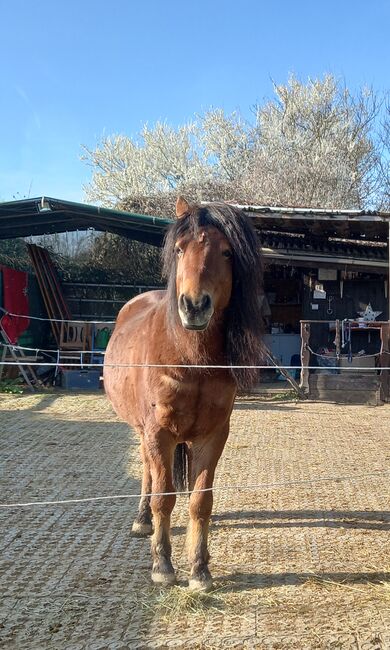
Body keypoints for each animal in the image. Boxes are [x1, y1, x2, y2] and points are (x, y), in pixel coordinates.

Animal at [104, 197, 262, 588]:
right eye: (179, 249)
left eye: (227, 252)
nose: (193, 305)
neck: (191, 359)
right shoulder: (159, 433)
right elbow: (164, 497)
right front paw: (162, 566)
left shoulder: (211, 435)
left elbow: (200, 501)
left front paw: (199, 569)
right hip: (143, 431)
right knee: (148, 472)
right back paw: (142, 520)